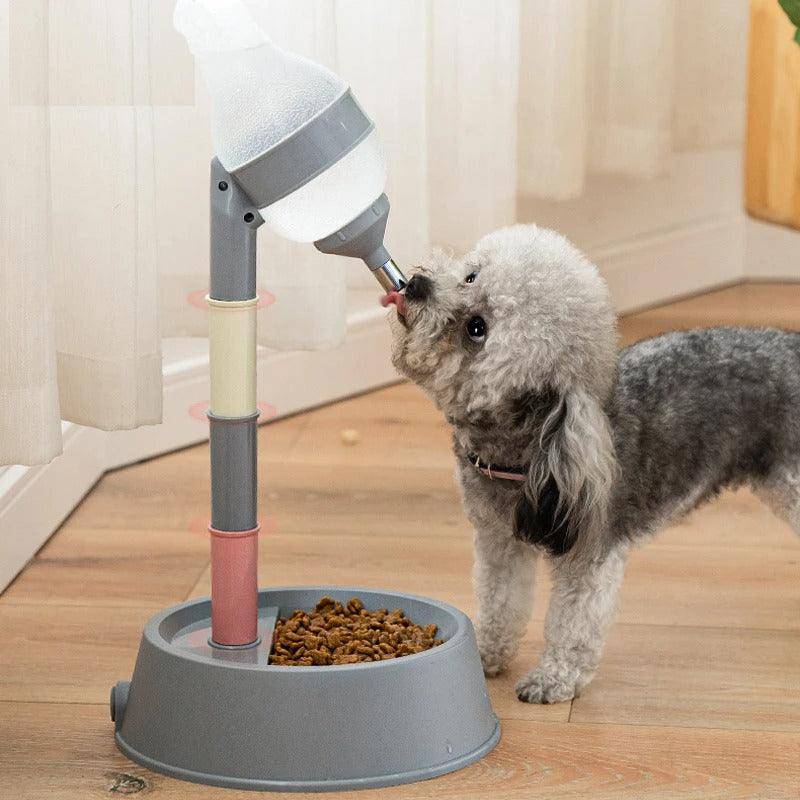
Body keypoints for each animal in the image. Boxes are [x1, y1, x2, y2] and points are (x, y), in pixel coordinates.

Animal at [384, 225, 796, 708]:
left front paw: (552, 679)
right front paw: (483, 653)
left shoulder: (588, 558)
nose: (416, 285)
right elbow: (500, 601)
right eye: (472, 275)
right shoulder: (500, 541)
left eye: (477, 329)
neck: (532, 449)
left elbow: (572, 626)